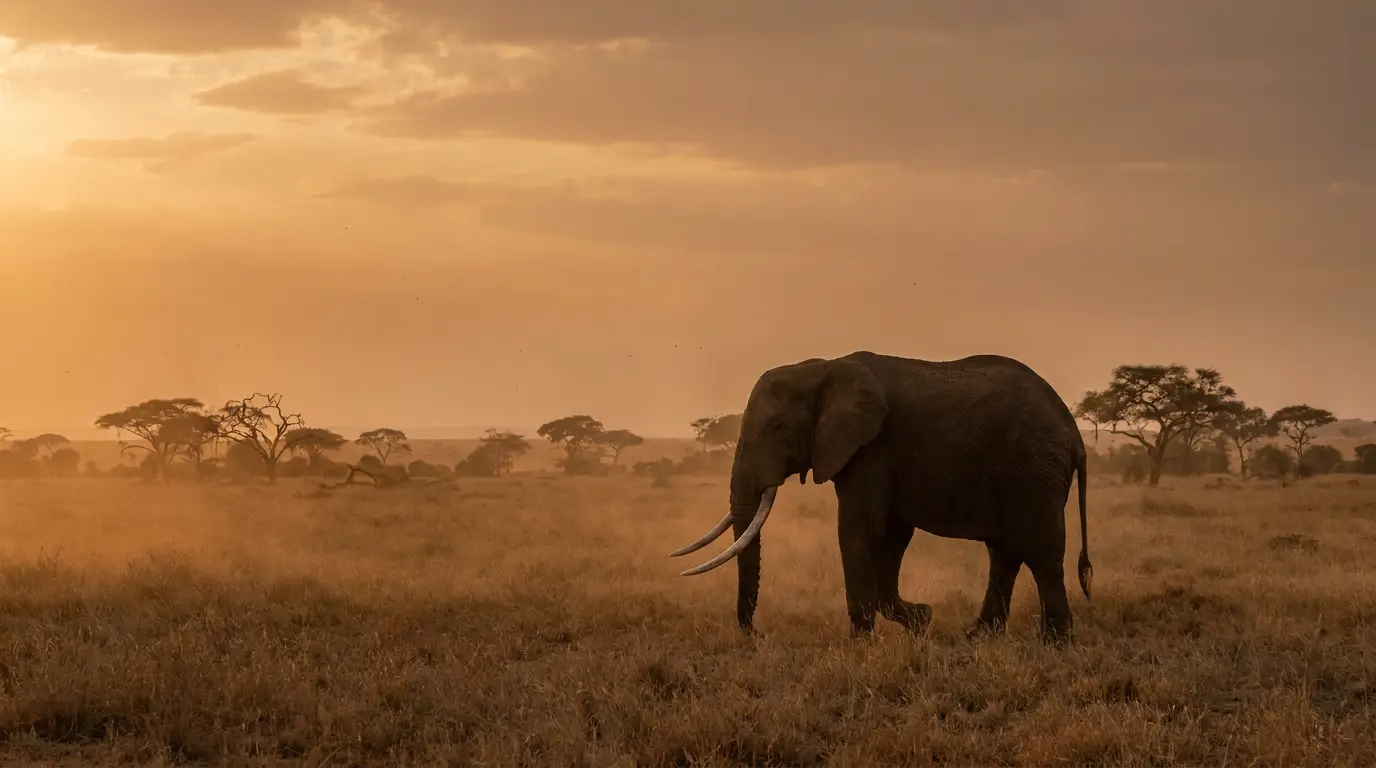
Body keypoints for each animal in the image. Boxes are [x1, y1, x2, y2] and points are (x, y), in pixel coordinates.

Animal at [669, 351, 1092, 643]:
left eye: (777, 427)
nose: (756, 635)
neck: (823, 367)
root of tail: (1075, 435)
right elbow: (891, 535)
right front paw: (921, 619)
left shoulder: (870, 447)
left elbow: (859, 530)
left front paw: (860, 643)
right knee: (1005, 553)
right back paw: (976, 639)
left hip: (1033, 469)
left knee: (1040, 552)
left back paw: (1054, 644)